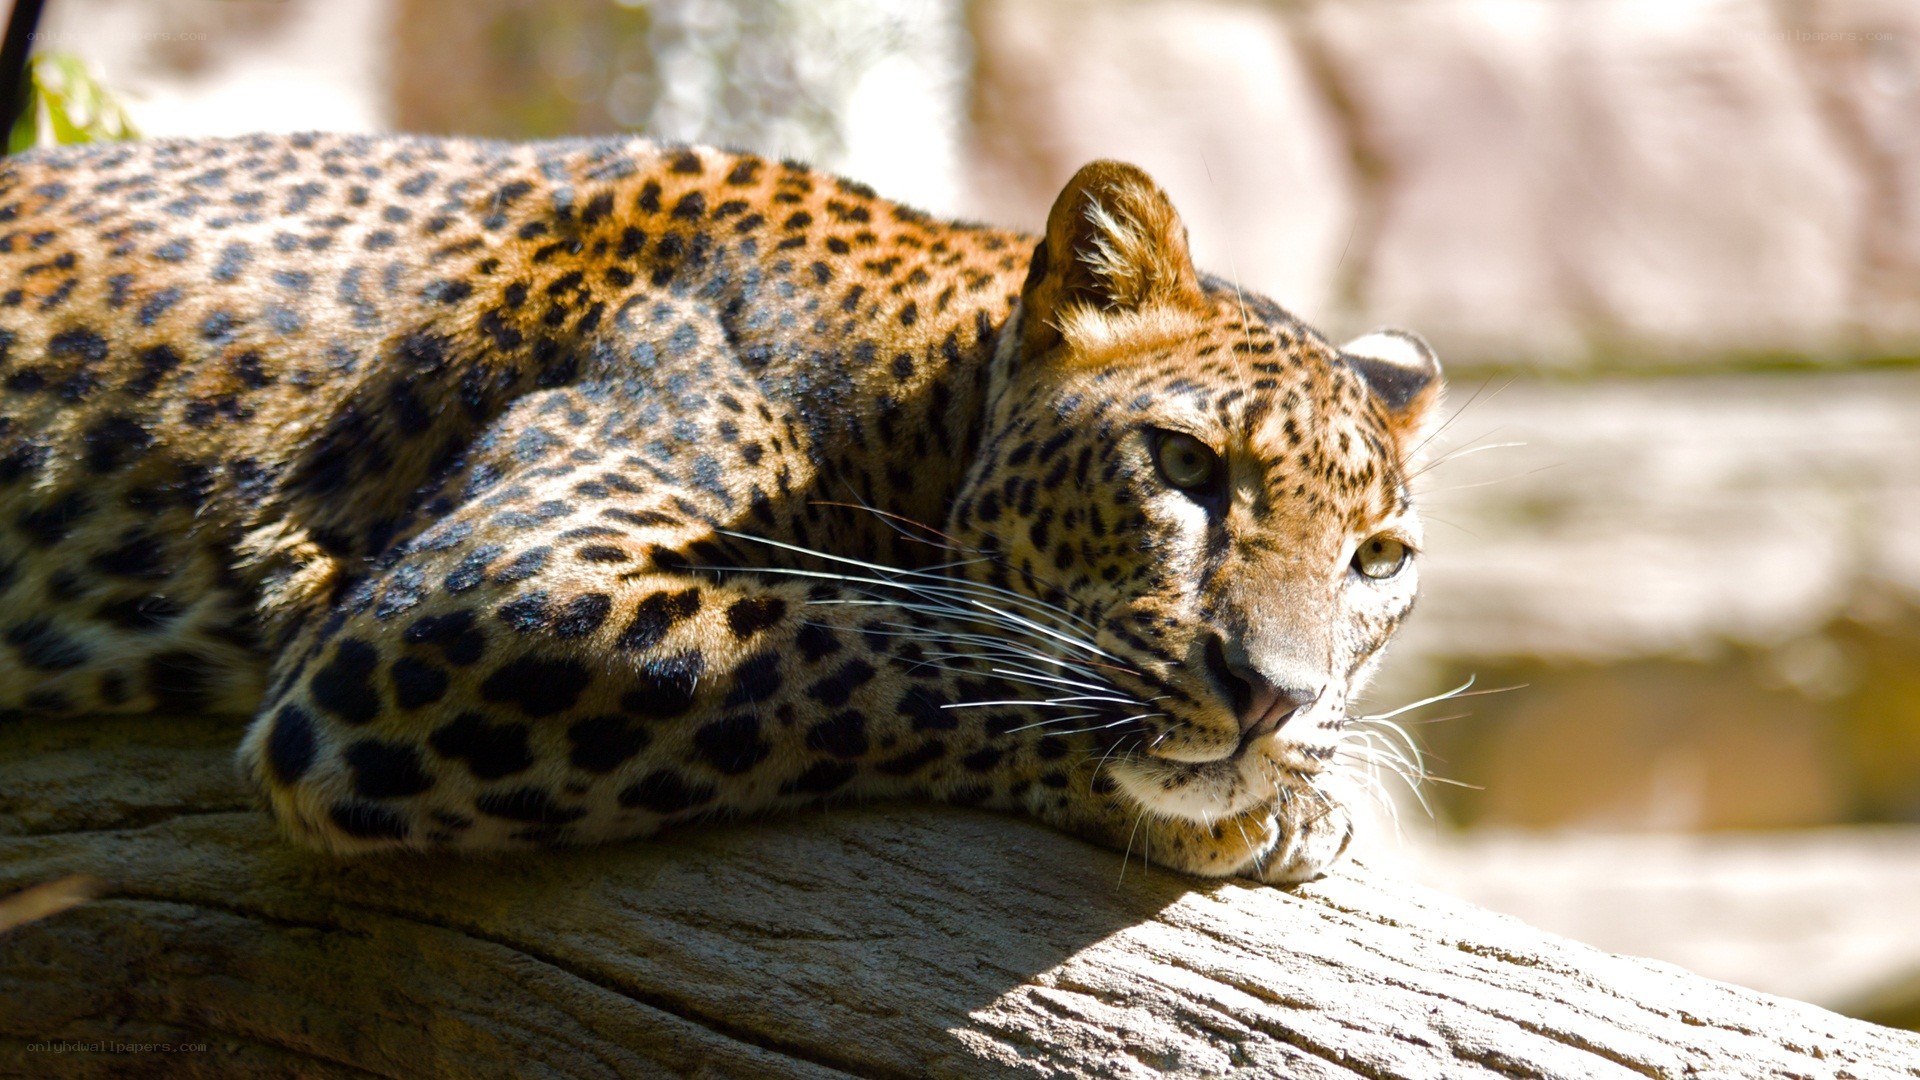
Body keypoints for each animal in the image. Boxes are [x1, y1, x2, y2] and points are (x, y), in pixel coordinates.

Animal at [0, 133, 1442, 884]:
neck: (911, 395)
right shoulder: (478, 596)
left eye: (1378, 560)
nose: (1274, 700)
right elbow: (872, 645)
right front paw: (1268, 805)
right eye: (1186, 466)